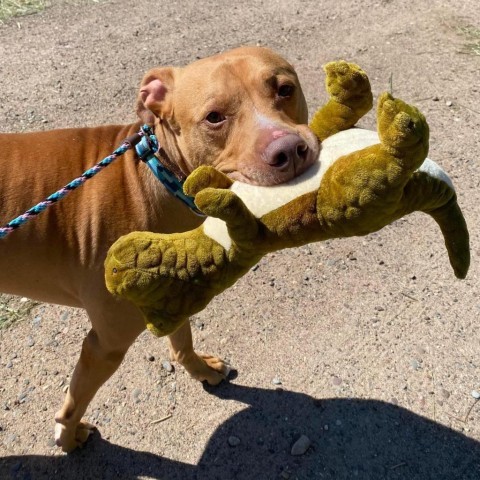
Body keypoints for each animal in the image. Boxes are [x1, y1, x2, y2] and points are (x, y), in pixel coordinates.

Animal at [0, 45, 320, 450]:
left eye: (284, 89)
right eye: (214, 118)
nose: (289, 150)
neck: (160, 175)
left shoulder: (170, 294)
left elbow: (182, 341)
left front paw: (201, 371)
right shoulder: (104, 345)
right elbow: (73, 404)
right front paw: (69, 440)